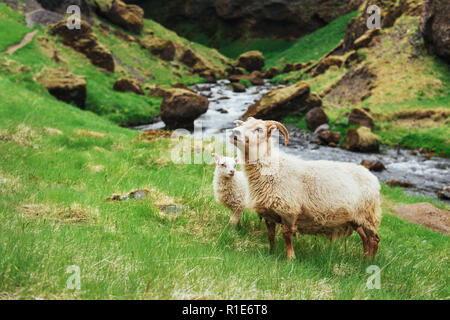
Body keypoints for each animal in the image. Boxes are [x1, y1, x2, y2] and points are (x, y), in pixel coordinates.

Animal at [230, 117, 382, 260]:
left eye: (259, 129)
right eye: (242, 125)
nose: (234, 133)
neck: (273, 169)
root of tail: (373, 179)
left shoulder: (289, 210)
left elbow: (287, 234)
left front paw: (290, 258)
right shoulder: (268, 212)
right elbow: (270, 235)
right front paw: (271, 253)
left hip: (369, 216)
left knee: (374, 239)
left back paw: (368, 262)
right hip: (356, 219)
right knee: (365, 238)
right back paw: (364, 258)